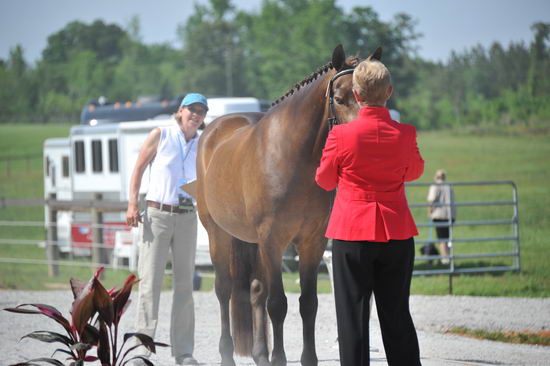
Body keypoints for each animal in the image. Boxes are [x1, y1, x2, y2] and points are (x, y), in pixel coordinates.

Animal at [198, 45, 384, 366]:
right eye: (339, 98)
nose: (368, 142)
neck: (293, 156)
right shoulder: (273, 241)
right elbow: (278, 304)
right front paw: (280, 358)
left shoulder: (312, 242)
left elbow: (308, 303)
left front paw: (306, 358)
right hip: (218, 234)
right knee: (224, 290)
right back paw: (227, 355)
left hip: (253, 243)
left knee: (255, 291)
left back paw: (260, 354)